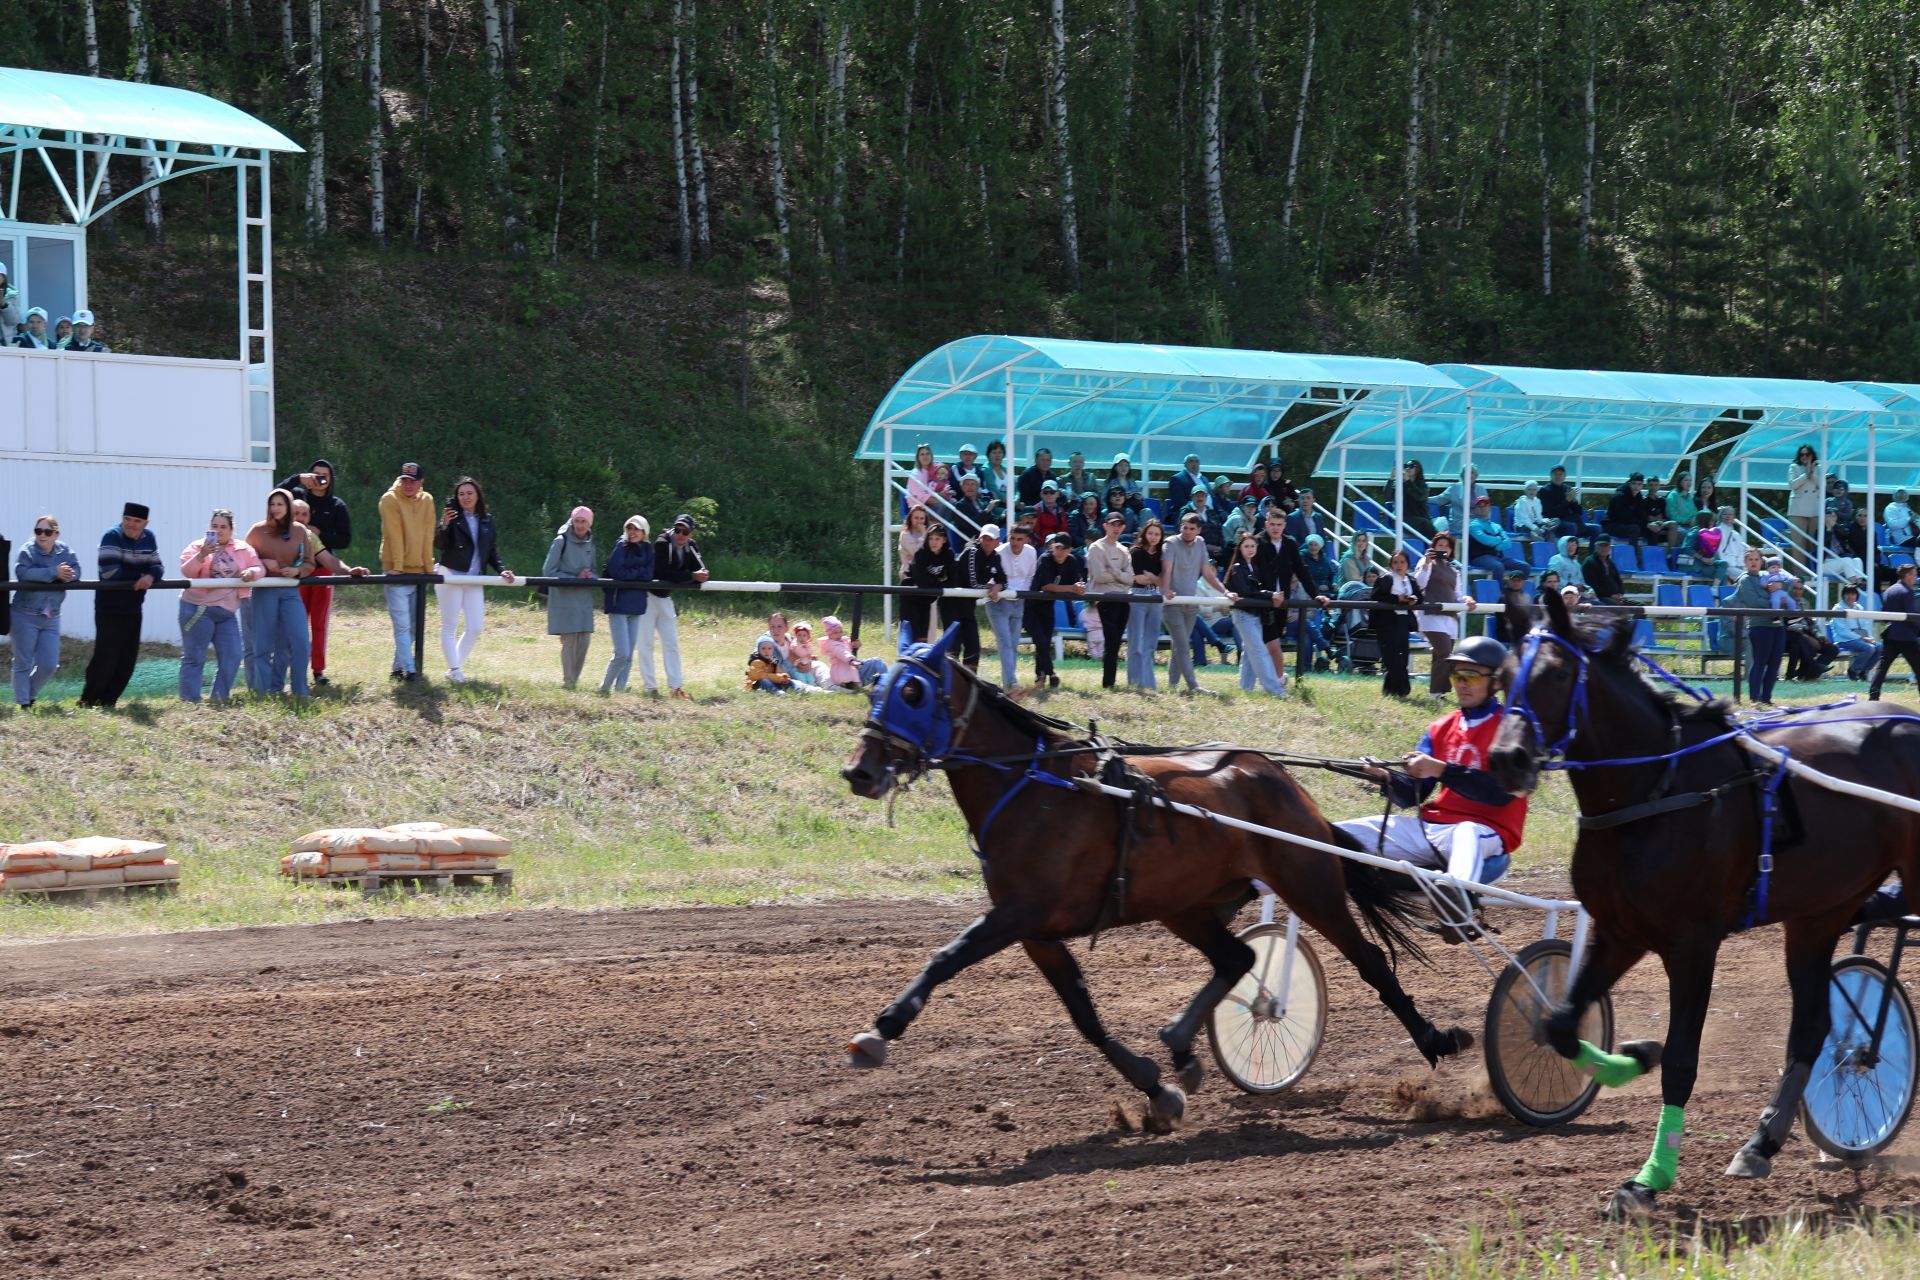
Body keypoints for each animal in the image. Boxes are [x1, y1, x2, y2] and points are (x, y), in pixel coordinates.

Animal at [840, 625, 1466, 1128]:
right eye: (875, 687)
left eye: (913, 691)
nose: (858, 771)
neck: (1033, 789)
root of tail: (1281, 779)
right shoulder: (1038, 933)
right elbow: (1083, 1014)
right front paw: (1155, 1086)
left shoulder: (1019, 914)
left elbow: (945, 957)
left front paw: (881, 1029)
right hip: (1184, 905)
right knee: (1237, 958)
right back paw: (1180, 1046)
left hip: (1308, 883)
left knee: (1368, 961)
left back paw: (1435, 1038)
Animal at [1489, 591, 1920, 1220]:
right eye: (1501, 677)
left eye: (1560, 674)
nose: (1508, 759)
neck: (1655, 790)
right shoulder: (1619, 932)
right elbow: (1560, 1026)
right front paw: (1633, 1056)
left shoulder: (1693, 945)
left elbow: (1680, 1061)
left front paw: (1648, 1178)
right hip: (1815, 917)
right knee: (1813, 1026)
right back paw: (1762, 1143)